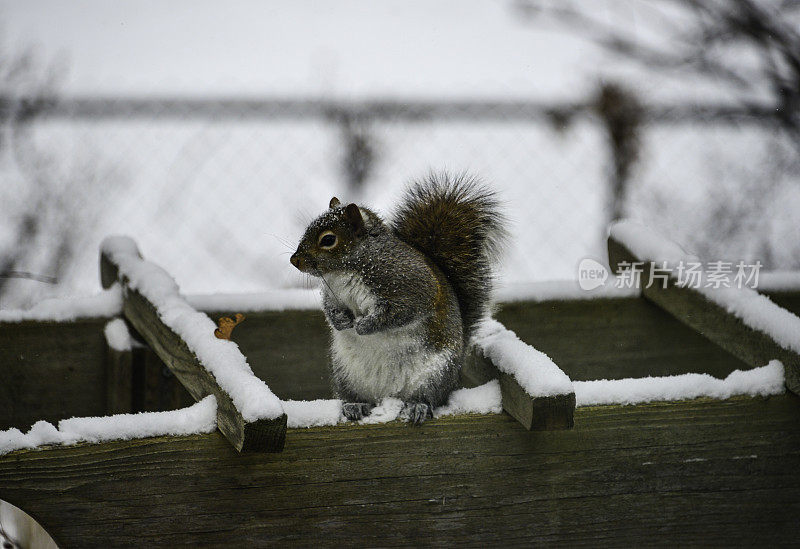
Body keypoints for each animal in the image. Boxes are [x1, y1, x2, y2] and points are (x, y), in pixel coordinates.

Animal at [290, 173, 506, 422]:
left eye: (328, 240)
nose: (294, 260)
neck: (345, 270)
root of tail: (387, 396)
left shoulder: (410, 285)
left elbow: (401, 311)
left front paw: (365, 325)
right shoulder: (333, 295)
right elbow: (330, 309)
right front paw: (341, 321)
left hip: (435, 375)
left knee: (430, 398)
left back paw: (417, 406)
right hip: (345, 375)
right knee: (355, 396)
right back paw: (355, 405)